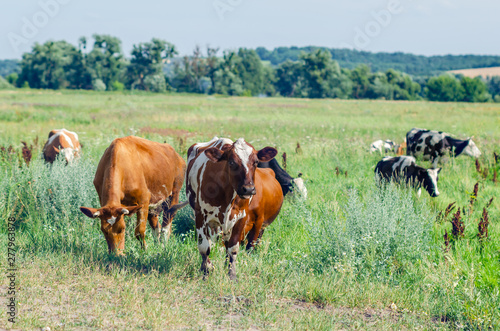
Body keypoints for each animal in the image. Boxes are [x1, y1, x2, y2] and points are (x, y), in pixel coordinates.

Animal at [187, 137, 282, 280]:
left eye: (256, 162)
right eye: (231, 162)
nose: (248, 189)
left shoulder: (241, 217)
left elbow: (233, 247)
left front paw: (231, 274)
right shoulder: (200, 215)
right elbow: (204, 246)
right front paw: (206, 271)